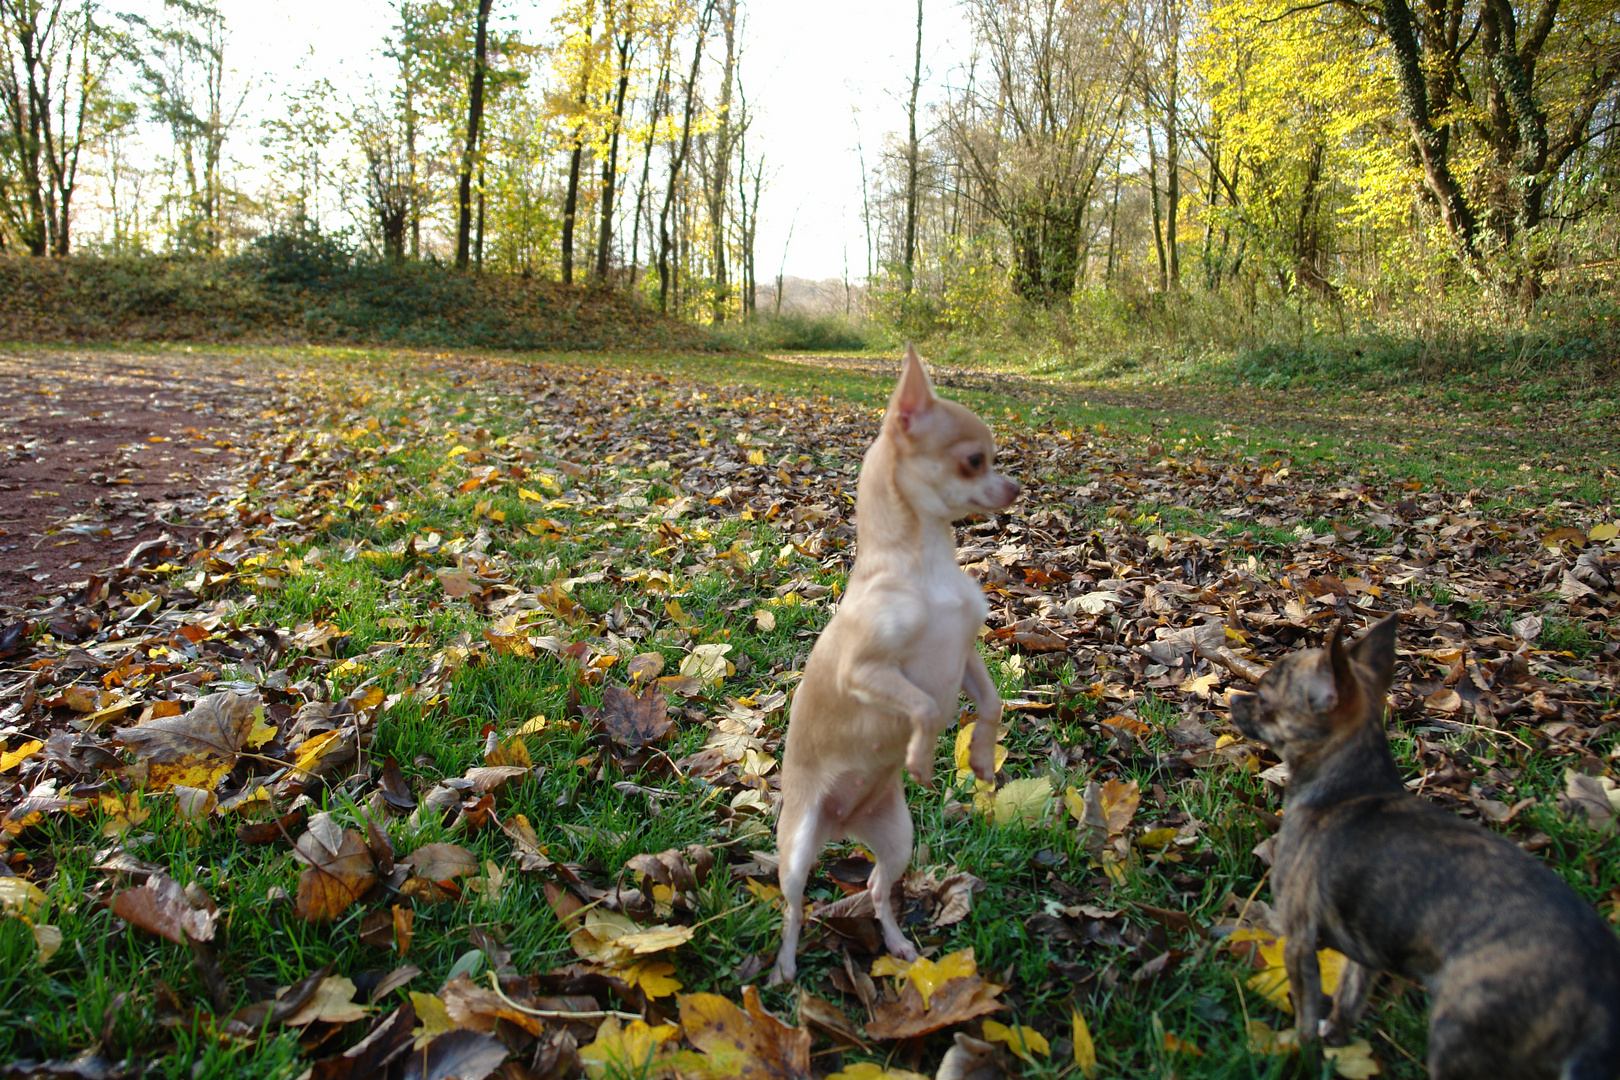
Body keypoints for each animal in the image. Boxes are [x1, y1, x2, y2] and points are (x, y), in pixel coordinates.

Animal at [767, 348, 1017, 990]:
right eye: (973, 460)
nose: (1014, 485)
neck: (927, 563)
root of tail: (841, 827)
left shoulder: (965, 653)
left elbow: (991, 702)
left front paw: (982, 759)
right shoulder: (867, 671)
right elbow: (926, 706)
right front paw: (922, 757)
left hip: (896, 837)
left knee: (880, 889)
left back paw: (899, 943)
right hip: (797, 847)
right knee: (794, 908)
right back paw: (784, 966)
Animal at [1224, 615, 1620, 1080]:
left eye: (1266, 698)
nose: (1234, 698)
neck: (1350, 785)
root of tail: (1600, 1001)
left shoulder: (1300, 937)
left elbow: (1306, 1016)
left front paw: (1302, 1058)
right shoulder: (1368, 947)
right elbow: (1349, 998)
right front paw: (1336, 1038)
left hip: (1460, 1029)